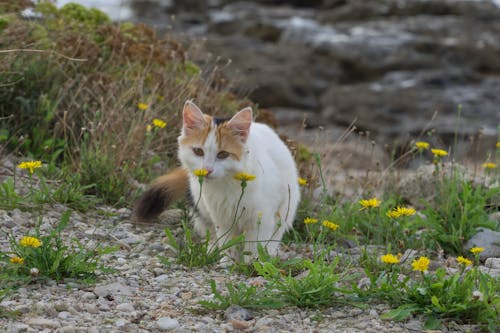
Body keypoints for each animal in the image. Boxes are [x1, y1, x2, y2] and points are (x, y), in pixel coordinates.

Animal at [134, 100, 300, 260]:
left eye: (223, 154)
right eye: (198, 151)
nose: (207, 170)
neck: (227, 185)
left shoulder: (262, 219)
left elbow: (254, 247)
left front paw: (253, 263)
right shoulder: (222, 219)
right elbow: (227, 243)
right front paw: (227, 262)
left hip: (285, 210)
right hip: (201, 205)